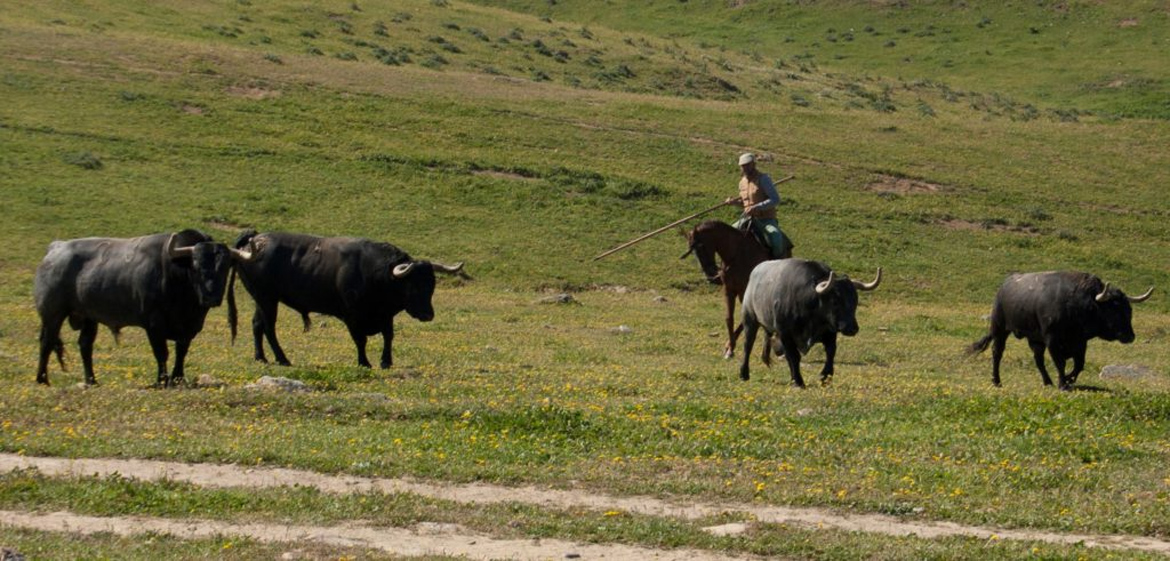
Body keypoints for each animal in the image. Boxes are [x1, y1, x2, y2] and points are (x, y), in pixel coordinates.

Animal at [35, 228, 251, 386]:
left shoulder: (190, 328)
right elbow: (162, 353)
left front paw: (178, 378)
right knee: (47, 342)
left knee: (85, 345)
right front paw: (162, 380)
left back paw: (91, 380)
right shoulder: (154, 325)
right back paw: (42, 379)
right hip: (53, 314)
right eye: (196, 265)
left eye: (224, 267)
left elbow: (181, 352)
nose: (211, 297)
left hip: (89, 317)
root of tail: (55, 249)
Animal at [228, 230, 465, 370]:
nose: (427, 314)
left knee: (257, 325)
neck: (376, 273)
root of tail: (252, 243)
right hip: (267, 299)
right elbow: (360, 340)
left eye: (431, 284)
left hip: (262, 299)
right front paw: (364, 362)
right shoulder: (352, 316)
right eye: (413, 285)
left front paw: (386, 362)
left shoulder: (386, 316)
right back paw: (282, 358)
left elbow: (389, 336)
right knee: (269, 327)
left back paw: (261, 357)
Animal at [678, 220, 795, 360]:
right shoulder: (729, 291)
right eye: (692, 251)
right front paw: (729, 348)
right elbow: (729, 318)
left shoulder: (745, 292)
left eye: (701, 247)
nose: (711, 275)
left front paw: (730, 347)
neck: (737, 253)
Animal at [739, 257, 879, 386]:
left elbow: (831, 352)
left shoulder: (829, 333)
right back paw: (744, 374)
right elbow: (794, 356)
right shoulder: (785, 334)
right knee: (748, 345)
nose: (852, 328)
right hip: (749, 320)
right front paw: (798, 381)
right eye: (835, 301)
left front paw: (825, 376)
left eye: (855, 301)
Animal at [968, 271, 1151, 391]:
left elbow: (1079, 364)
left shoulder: (1080, 342)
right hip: (1000, 329)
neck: (1076, 304)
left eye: (1129, 310)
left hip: (1035, 340)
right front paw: (1063, 383)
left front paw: (1069, 380)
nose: (1130, 336)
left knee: (1039, 360)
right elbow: (1060, 362)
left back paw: (1047, 381)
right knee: (997, 353)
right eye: (1114, 308)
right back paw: (996, 381)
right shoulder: (1053, 340)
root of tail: (1004, 287)